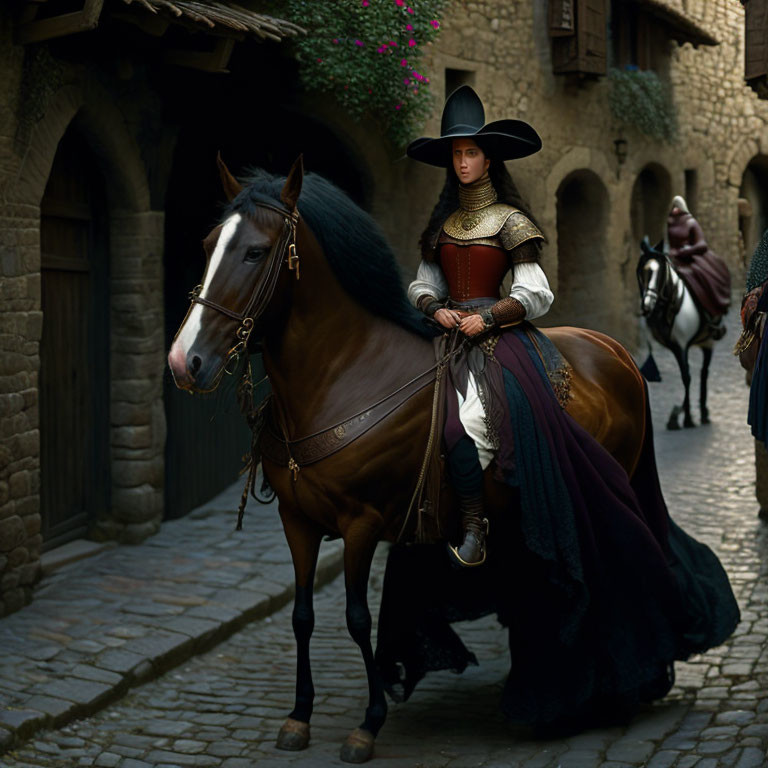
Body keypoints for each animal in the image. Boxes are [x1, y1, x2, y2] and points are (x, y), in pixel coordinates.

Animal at [168, 158, 656, 760]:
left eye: (255, 252)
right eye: (209, 244)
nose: (185, 362)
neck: (344, 376)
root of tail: (616, 352)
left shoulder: (361, 522)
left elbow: (357, 619)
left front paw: (368, 723)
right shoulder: (296, 520)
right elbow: (303, 616)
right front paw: (299, 716)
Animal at [632, 238, 724, 428]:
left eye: (661, 273)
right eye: (641, 271)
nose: (647, 305)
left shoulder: (683, 346)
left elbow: (687, 377)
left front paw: (687, 418)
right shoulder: (676, 347)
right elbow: (685, 376)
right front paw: (678, 415)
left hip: (708, 342)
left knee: (704, 372)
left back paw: (704, 413)